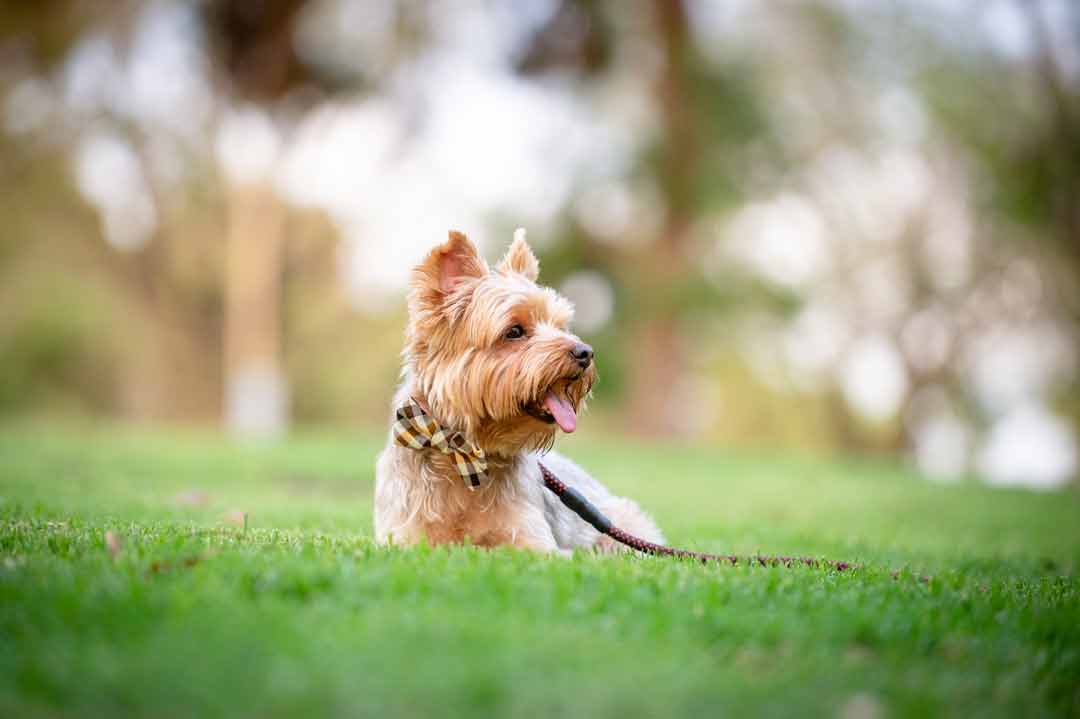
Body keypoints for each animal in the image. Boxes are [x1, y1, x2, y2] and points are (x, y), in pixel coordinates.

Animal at [373, 226, 665, 550]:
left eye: (560, 326)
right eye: (514, 331)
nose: (585, 352)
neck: (463, 456)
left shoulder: (533, 540)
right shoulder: (404, 538)